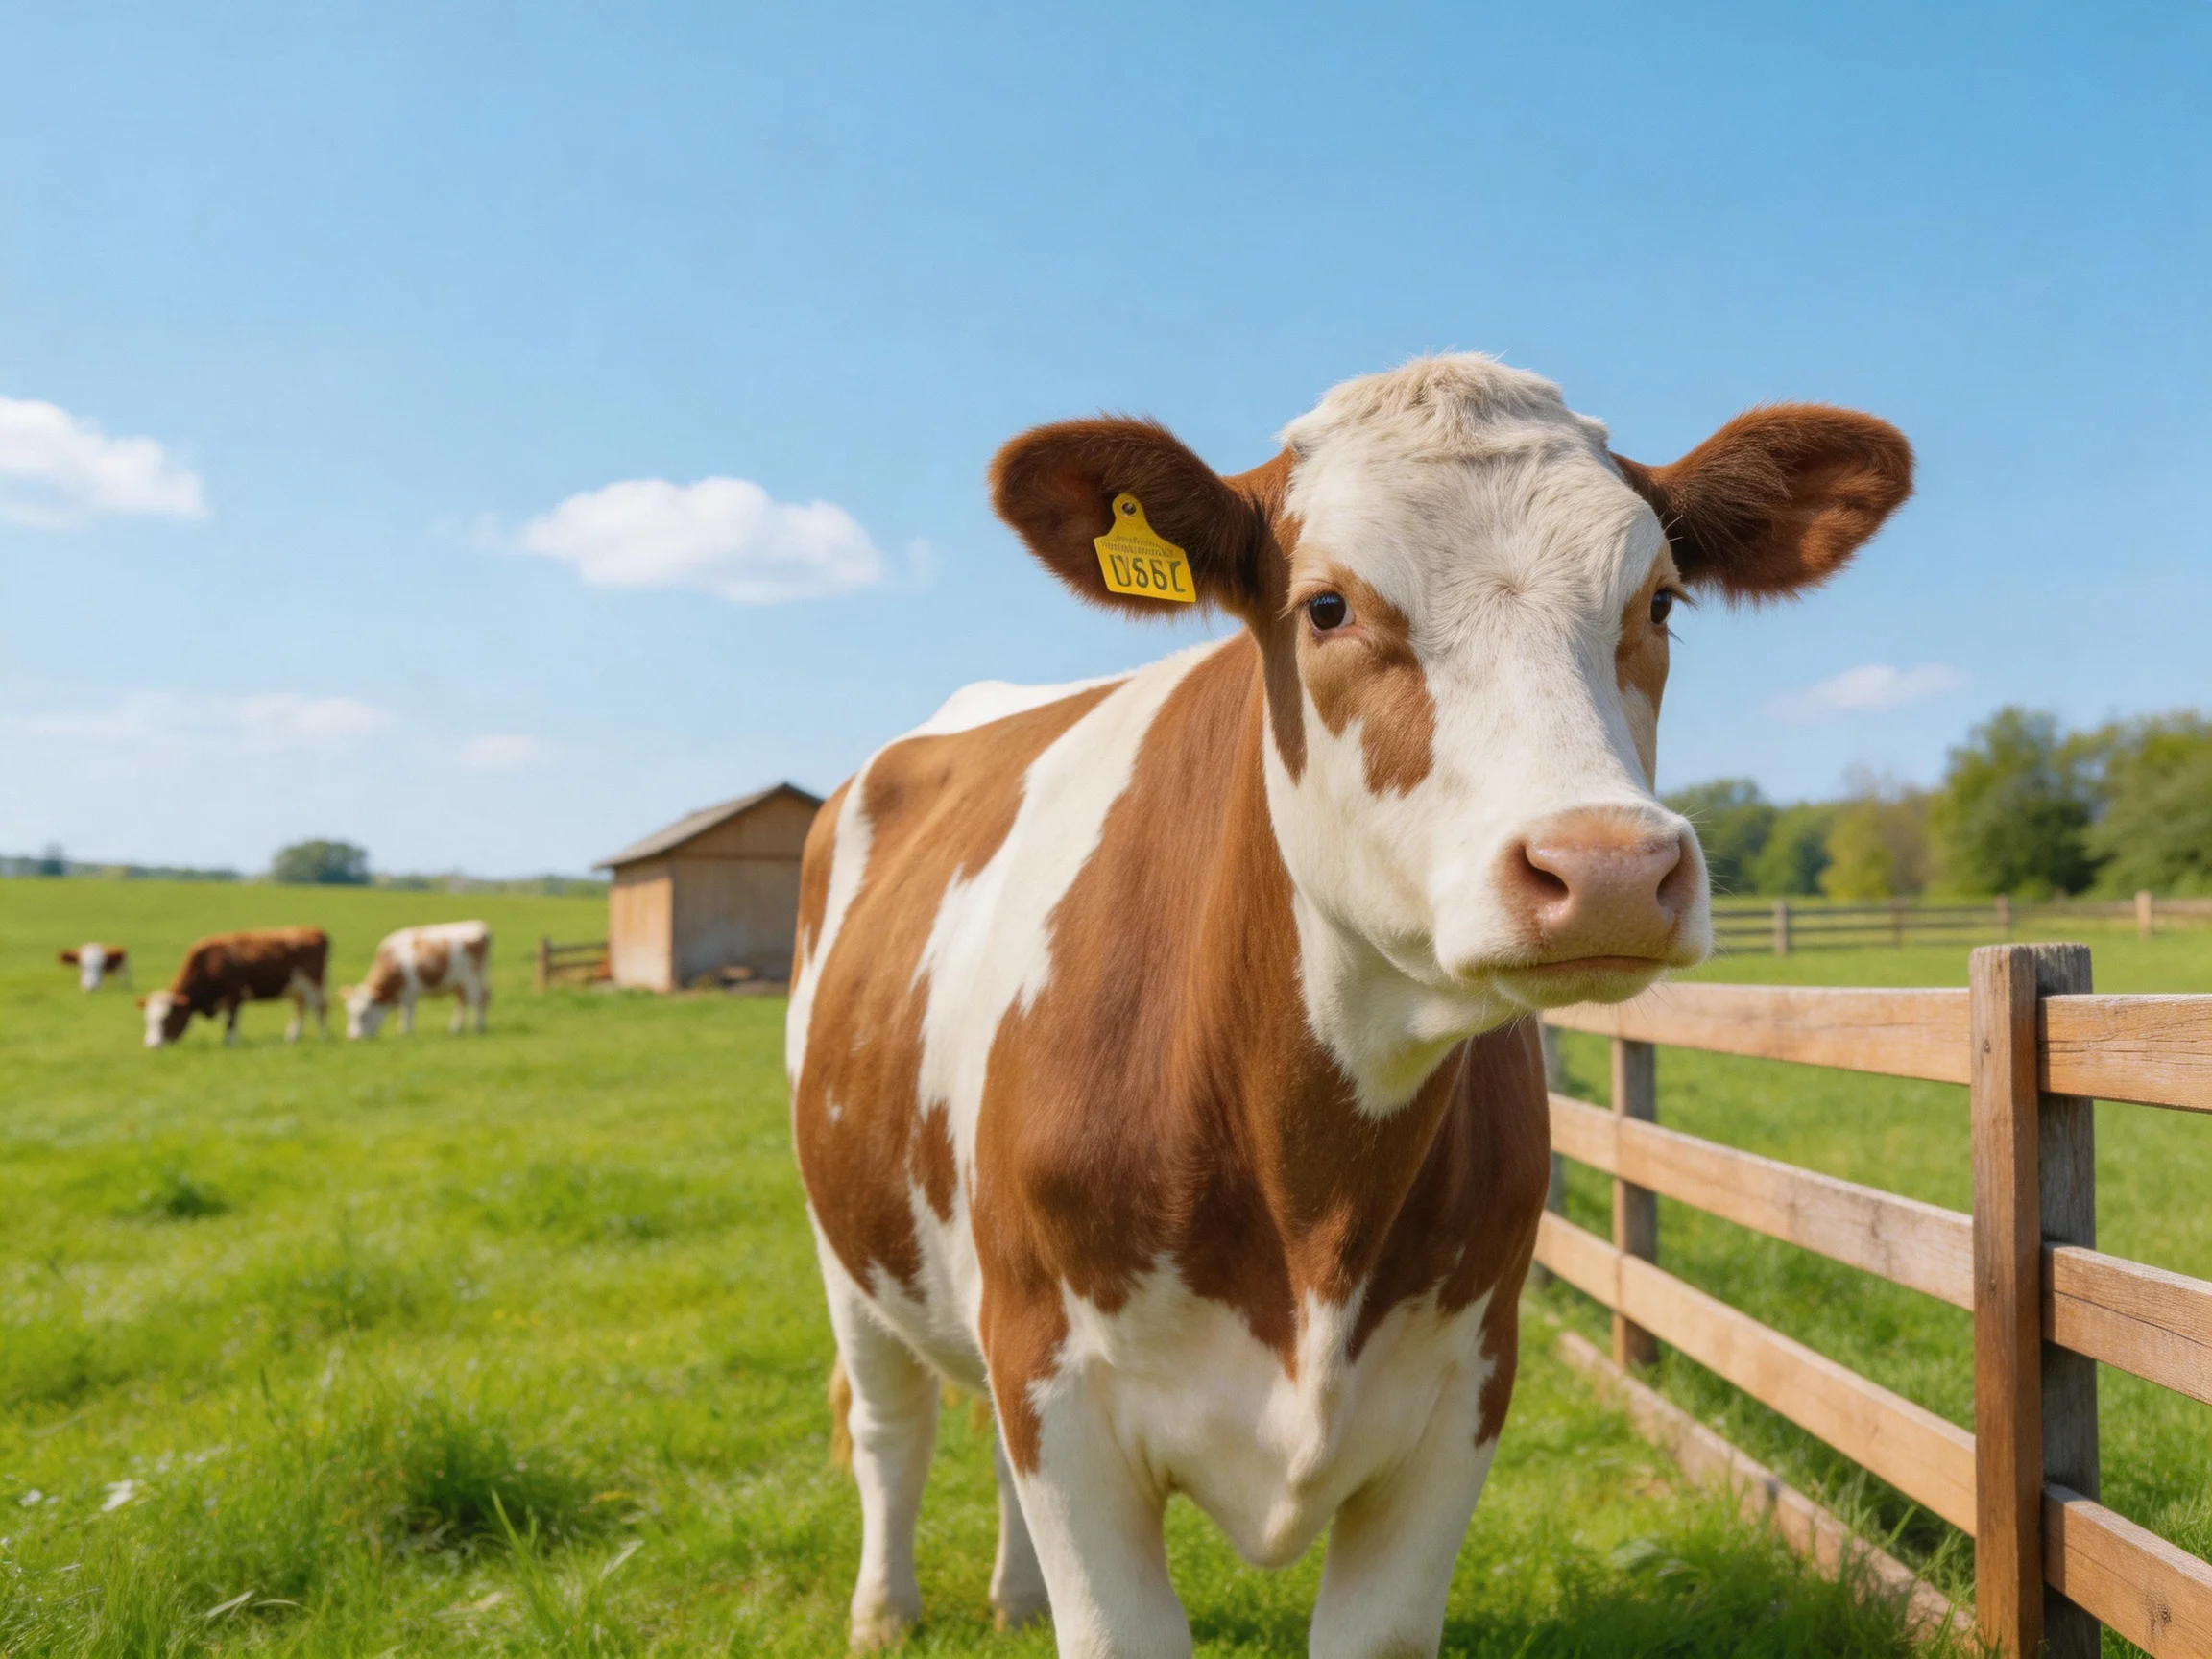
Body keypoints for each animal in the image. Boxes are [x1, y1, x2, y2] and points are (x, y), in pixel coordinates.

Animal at [141, 927, 331, 1048]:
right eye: (148, 1020)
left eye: (167, 1019)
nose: (152, 1046)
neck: (209, 963)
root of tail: (314, 930)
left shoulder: (234, 996)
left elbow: (230, 1021)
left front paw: (230, 1044)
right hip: (297, 989)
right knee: (300, 1009)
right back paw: (292, 1038)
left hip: (314, 985)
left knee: (319, 1009)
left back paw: (323, 1038)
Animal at [341, 920, 492, 1038]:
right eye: (349, 1013)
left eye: (364, 1014)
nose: (353, 1038)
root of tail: (481, 926)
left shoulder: (409, 992)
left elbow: (407, 1013)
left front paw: (405, 1033)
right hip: (461, 983)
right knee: (463, 1001)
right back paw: (455, 1028)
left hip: (471, 979)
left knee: (479, 999)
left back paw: (478, 1027)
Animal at [787, 354, 1912, 1656]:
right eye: (1326, 606)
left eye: (1664, 602)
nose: (1610, 868)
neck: (1310, 1188)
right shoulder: (1052, 1378)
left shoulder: (1465, 1386)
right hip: (848, 1247)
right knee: (893, 1427)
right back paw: (885, 1612)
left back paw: (1015, 1599)